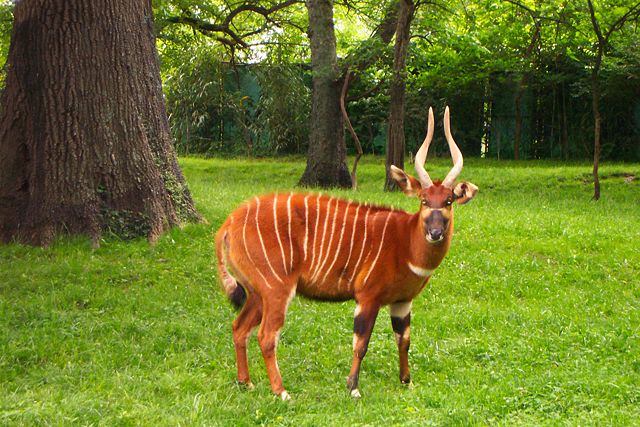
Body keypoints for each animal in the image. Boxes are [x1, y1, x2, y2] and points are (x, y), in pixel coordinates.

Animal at [215, 107, 476, 402]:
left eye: (448, 201)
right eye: (423, 200)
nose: (435, 232)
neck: (405, 242)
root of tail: (229, 223)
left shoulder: (402, 302)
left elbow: (404, 340)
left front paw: (406, 381)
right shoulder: (367, 297)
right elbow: (360, 343)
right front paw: (353, 388)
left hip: (256, 293)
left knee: (239, 328)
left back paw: (245, 383)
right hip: (276, 290)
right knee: (266, 336)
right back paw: (281, 392)